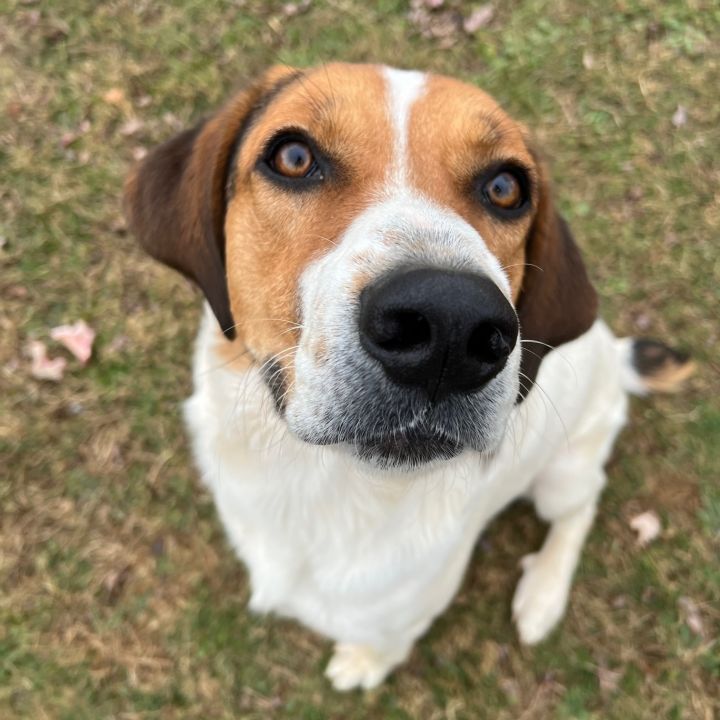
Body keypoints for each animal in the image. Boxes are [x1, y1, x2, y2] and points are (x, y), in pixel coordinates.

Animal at [124, 64, 692, 688]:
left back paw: (543, 593)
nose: (452, 325)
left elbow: (385, 642)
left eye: (506, 188)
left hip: (563, 472)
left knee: (581, 506)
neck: (320, 482)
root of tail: (612, 351)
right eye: (293, 157)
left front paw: (363, 663)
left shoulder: (407, 612)